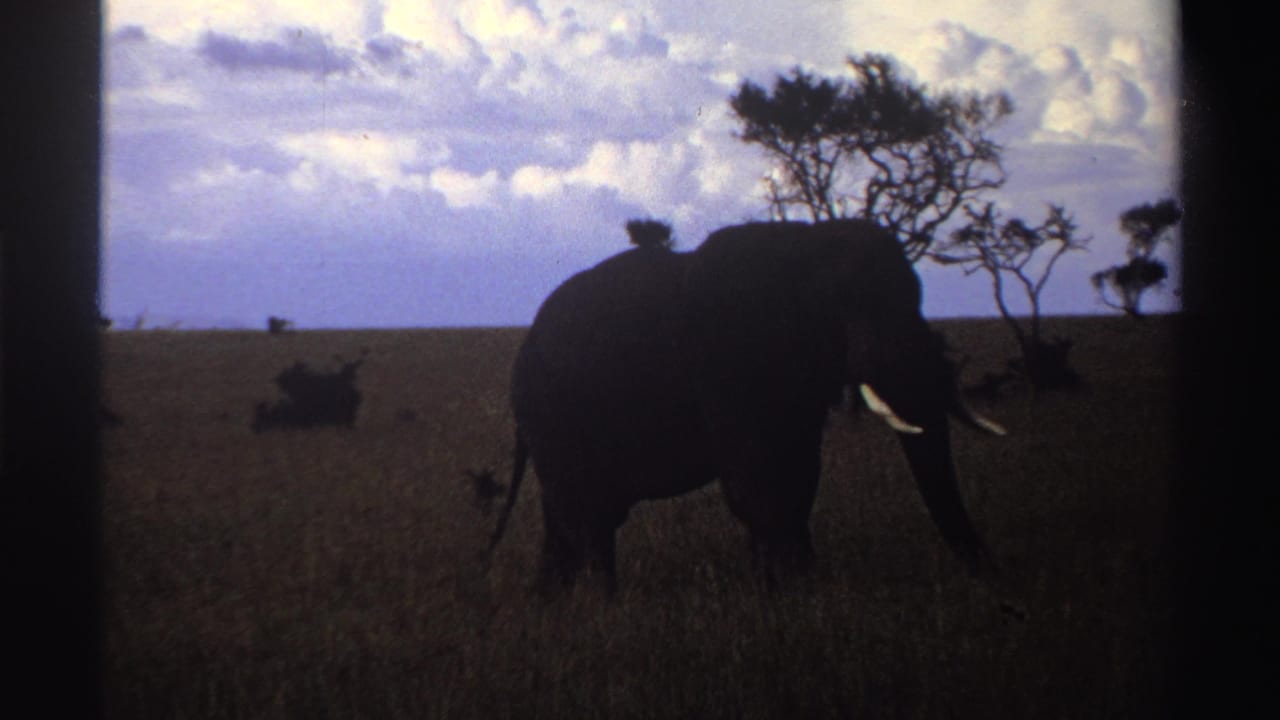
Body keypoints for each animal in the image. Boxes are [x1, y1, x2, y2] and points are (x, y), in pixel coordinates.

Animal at [488, 219, 1006, 593]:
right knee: (588, 514)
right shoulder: (727, 361)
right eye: (848, 307)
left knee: (573, 517)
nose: (993, 581)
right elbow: (756, 477)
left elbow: (799, 473)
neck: (805, 246)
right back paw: (602, 605)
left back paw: (556, 605)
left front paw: (795, 586)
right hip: (553, 413)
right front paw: (789, 593)